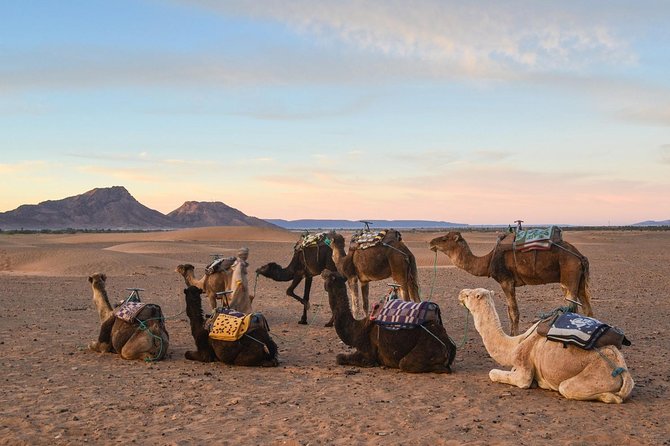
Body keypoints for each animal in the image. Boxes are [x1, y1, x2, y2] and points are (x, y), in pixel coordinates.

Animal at [322, 271, 456, 373]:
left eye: (329, 275)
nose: (323, 271)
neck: (356, 328)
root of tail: (448, 344)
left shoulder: (368, 354)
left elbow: (339, 357)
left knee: (405, 363)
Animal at [429, 231, 592, 335]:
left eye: (445, 239)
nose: (431, 242)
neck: (488, 261)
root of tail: (580, 257)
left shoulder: (506, 281)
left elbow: (514, 312)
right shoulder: (508, 283)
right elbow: (509, 312)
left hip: (568, 276)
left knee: (572, 308)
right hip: (579, 280)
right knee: (586, 309)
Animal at [458, 288, 633, 403]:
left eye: (468, 294)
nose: (460, 292)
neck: (514, 344)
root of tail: (623, 371)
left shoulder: (523, 368)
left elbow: (495, 374)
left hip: (594, 377)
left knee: (567, 388)